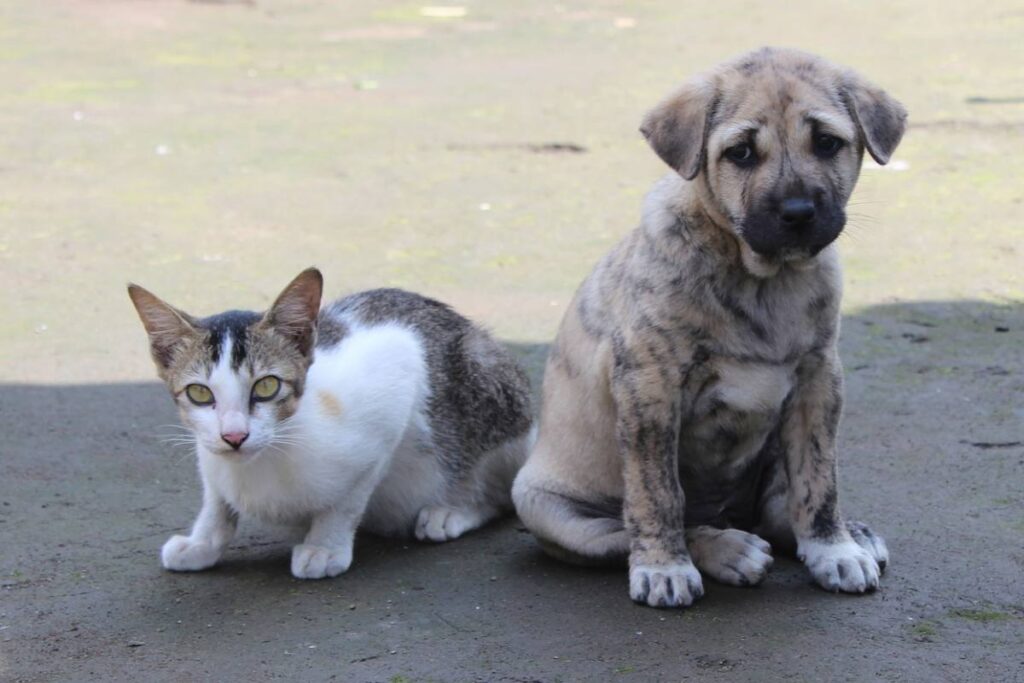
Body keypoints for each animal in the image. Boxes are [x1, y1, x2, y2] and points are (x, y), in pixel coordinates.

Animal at [125, 270, 536, 581]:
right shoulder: (209, 452)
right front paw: (202, 543)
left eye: (267, 386)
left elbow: (348, 499)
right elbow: (216, 499)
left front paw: (325, 545)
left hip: (490, 389)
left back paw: (454, 510)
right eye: (199, 393)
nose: (235, 436)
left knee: (500, 492)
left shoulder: (395, 379)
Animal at [516, 46, 909, 610]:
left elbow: (819, 480)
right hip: (549, 508)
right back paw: (726, 550)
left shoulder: (819, 381)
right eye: (740, 153)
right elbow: (658, 493)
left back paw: (847, 534)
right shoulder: (650, 389)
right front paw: (665, 567)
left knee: (778, 508)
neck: (762, 279)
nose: (797, 212)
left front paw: (833, 548)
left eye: (827, 143)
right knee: (635, 528)